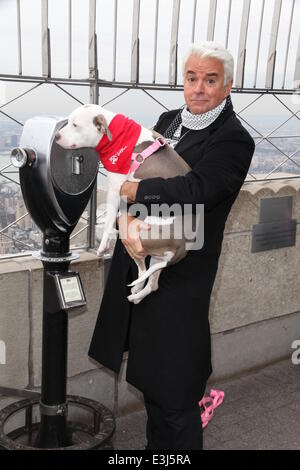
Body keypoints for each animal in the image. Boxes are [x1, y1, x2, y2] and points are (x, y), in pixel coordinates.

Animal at [56, 104, 192, 302]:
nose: (57, 136)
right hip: (158, 256)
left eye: (75, 125)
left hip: (143, 239)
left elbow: (109, 220)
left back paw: (135, 290)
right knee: (152, 284)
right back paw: (137, 294)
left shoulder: (116, 187)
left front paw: (103, 245)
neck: (116, 136)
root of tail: (181, 246)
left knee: (142, 268)